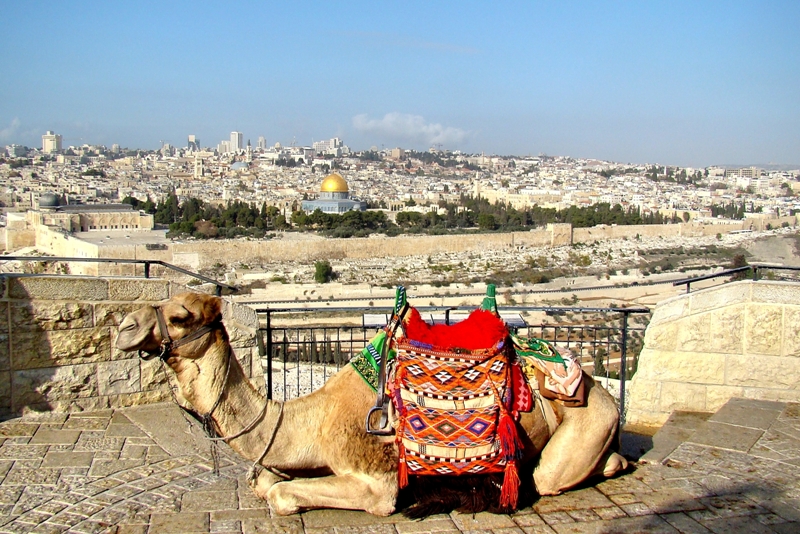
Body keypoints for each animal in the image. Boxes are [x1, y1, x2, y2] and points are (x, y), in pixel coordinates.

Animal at [116, 292, 628, 516]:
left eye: (181, 316)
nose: (124, 326)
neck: (313, 418)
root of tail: (593, 382)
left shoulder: (376, 483)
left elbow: (280, 495)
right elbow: (264, 480)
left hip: (589, 415)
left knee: (549, 476)